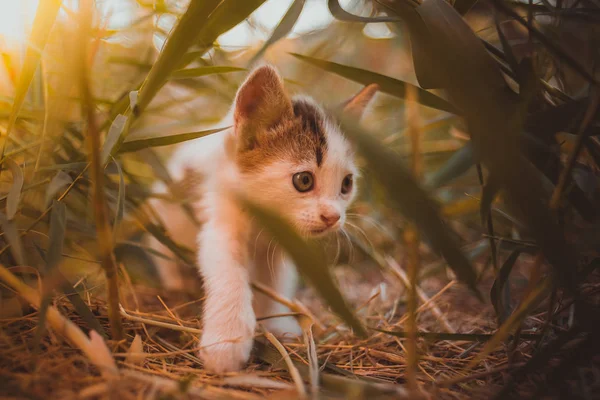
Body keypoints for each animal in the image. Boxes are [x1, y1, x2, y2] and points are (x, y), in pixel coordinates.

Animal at [148, 64, 378, 374]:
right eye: (304, 180)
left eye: (346, 184)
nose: (333, 217)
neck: (265, 220)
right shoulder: (220, 214)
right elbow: (228, 270)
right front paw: (227, 340)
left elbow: (275, 280)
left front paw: (278, 324)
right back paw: (178, 286)